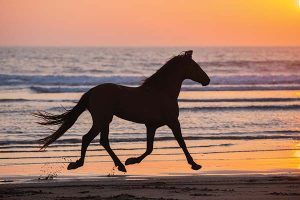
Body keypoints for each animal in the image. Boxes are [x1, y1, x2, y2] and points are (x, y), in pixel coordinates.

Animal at [34, 50, 210, 172]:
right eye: (195, 66)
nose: (207, 80)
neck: (162, 92)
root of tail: (91, 92)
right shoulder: (173, 122)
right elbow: (181, 142)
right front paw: (195, 164)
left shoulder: (151, 126)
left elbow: (150, 148)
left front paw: (131, 160)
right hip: (102, 120)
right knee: (87, 138)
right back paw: (78, 164)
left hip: (105, 121)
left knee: (103, 141)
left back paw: (120, 165)